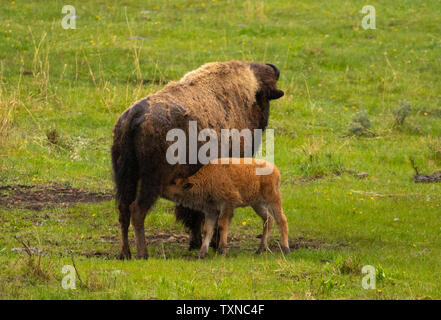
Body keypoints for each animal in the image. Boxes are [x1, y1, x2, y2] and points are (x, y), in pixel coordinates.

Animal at [109, 60, 282, 260]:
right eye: (266, 98)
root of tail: (133, 117)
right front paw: (211, 243)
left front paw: (196, 242)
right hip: (151, 181)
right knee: (137, 210)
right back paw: (142, 253)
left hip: (125, 177)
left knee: (123, 209)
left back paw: (125, 253)